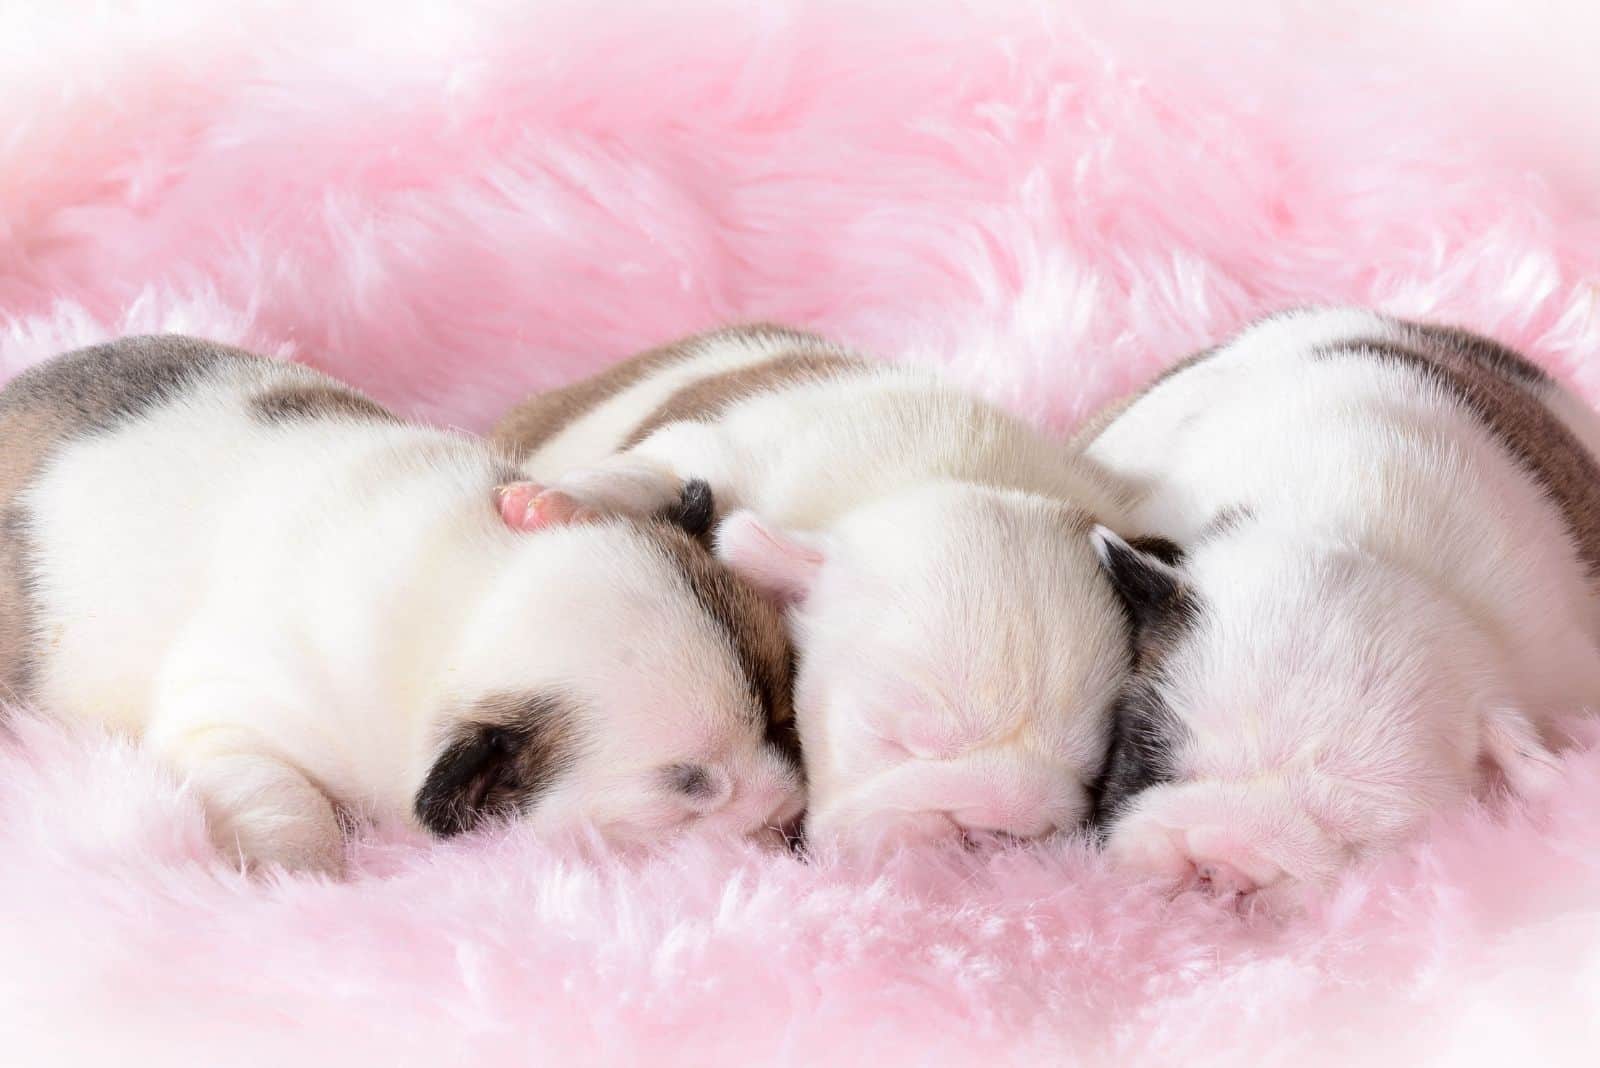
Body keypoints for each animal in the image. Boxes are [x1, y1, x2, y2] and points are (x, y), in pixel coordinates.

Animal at [0, 335, 800, 876]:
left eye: (785, 719)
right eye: (690, 788)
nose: (791, 817)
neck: (468, 595)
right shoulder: (226, 715)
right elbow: (281, 796)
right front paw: (292, 874)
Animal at [492, 326, 1132, 850]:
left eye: (1094, 768)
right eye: (888, 736)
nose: (998, 829)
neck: (936, 474)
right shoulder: (726, 454)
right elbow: (654, 466)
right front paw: (561, 500)